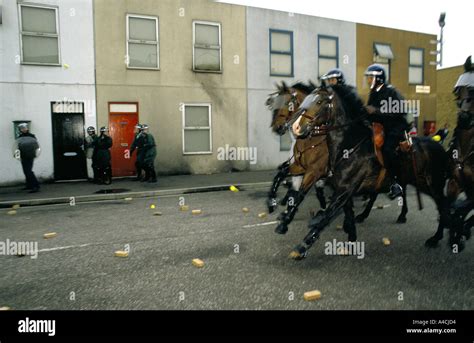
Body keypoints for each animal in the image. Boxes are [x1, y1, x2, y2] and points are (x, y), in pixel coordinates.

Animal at [288, 84, 452, 260]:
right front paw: (351, 240)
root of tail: (438, 144)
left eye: (319, 101)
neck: (349, 146)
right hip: (417, 181)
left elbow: (327, 216)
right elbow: (347, 213)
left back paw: (436, 237)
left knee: (443, 205)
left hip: (433, 184)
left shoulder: (344, 190)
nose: (295, 127)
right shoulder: (343, 189)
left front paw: (302, 247)